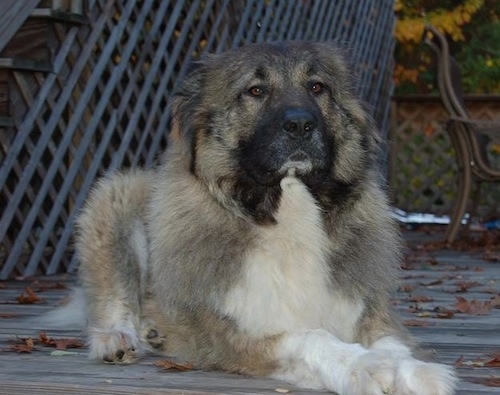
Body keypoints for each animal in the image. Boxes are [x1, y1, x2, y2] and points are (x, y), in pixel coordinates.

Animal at [62, 41, 458, 394]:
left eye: (317, 87)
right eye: (255, 90)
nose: (300, 124)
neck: (288, 209)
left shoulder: (369, 314)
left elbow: (392, 344)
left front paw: (415, 371)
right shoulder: (235, 334)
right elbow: (311, 337)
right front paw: (368, 367)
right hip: (118, 198)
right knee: (114, 297)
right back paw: (116, 338)